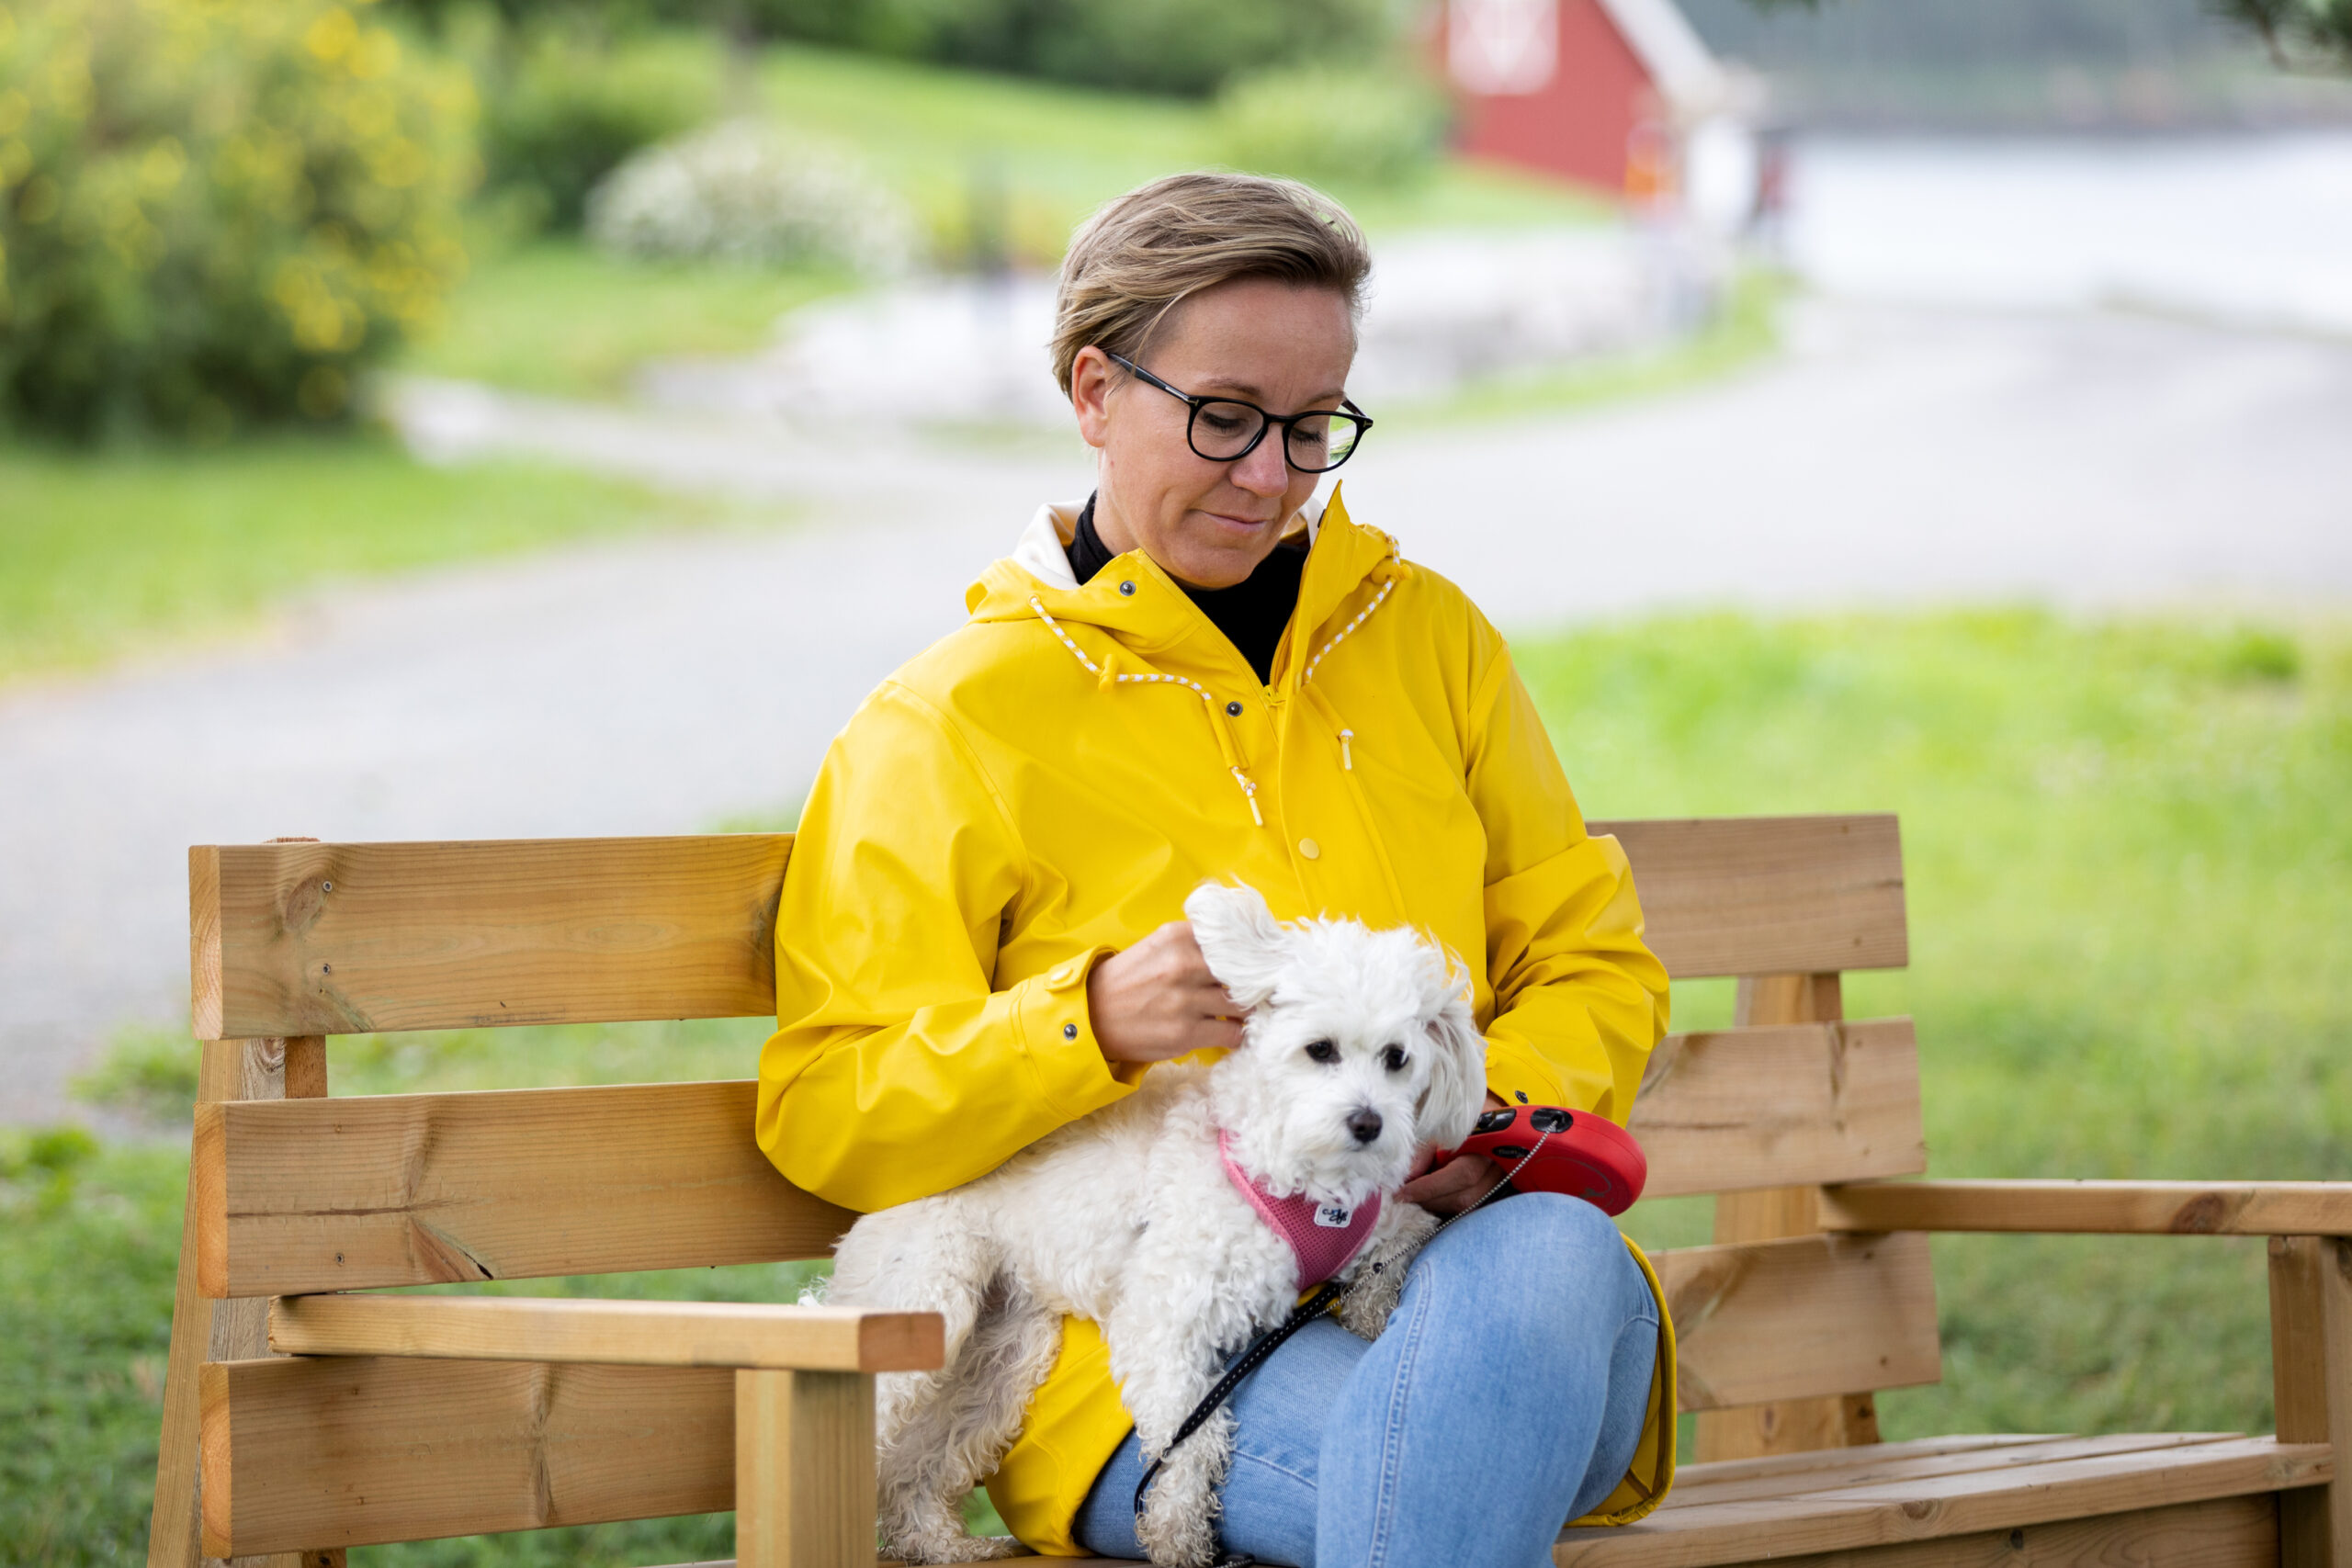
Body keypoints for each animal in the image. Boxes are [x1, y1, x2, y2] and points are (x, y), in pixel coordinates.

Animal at [828, 884, 1486, 1568]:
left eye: (1397, 1058)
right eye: (1320, 1049)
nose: (1367, 1122)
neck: (1294, 1175)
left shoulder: (1384, 1226)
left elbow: (1394, 1253)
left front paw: (1372, 1319)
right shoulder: (1167, 1321)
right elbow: (1189, 1436)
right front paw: (1178, 1532)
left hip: (1003, 1354)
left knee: (922, 1459)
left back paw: (937, 1539)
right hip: (924, 1300)